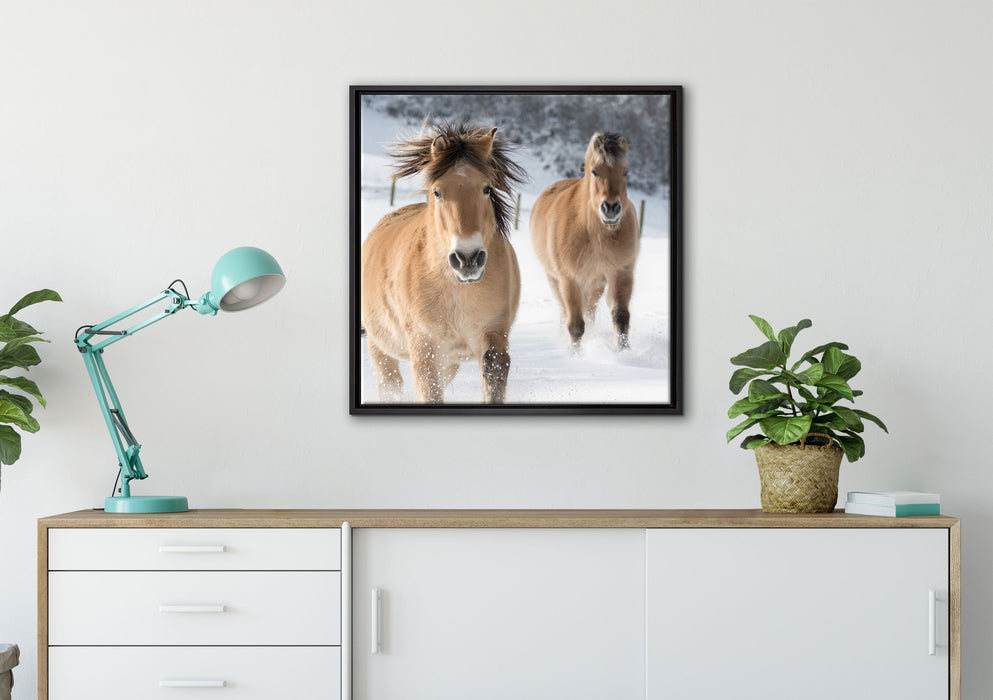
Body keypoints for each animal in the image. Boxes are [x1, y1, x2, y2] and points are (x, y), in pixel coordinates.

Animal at [361, 122, 527, 404]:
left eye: (487, 188)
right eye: (437, 192)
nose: (467, 258)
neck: (456, 290)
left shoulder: (494, 334)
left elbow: (492, 380)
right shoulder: (424, 347)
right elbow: (429, 392)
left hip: (450, 361)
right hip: (380, 346)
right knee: (390, 383)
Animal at [530, 131, 640, 351]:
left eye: (626, 172)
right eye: (595, 171)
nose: (611, 208)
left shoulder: (621, 273)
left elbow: (620, 316)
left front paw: (624, 352)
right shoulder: (569, 279)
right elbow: (575, 325)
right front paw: (576, 354)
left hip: (595, 284)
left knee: (590, 312)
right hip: (555, 279)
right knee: (565, 312)